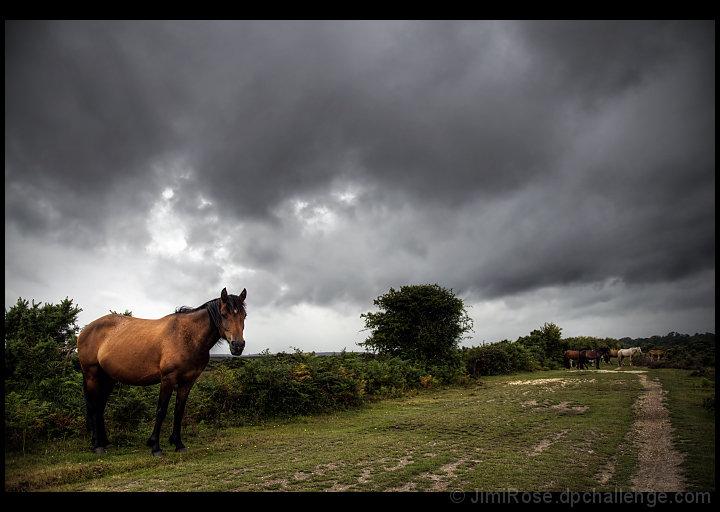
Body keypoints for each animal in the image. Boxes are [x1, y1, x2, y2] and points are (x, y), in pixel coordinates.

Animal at [77, 288, 248, 456]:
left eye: (244, 315)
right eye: (223, 314)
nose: (238, 345)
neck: (188, 336)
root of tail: (87, 329)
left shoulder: (188, 381)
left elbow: (179, 411)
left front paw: (178, 444)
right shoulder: (168, 379)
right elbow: (161, 411)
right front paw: (155, 446)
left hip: (108, 378)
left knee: (100, 407)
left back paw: (105, 443)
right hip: (92, 375)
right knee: (94, 406)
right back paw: (97, 445)